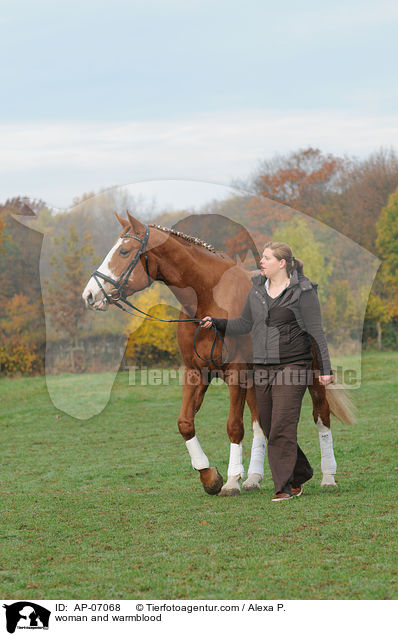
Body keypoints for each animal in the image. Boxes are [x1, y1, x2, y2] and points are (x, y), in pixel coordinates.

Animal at [82, 214, 350, 496]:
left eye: (124, 251)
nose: (90, 295)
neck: (208, 297)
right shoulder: (195, 373)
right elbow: (185, 423)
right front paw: (210, 476)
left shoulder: (236, 373)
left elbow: (233, 426)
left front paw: (231, 481)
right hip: (256, 381)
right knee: (260, 424)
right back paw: (253, 477)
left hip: (313, 372)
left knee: (321, 416)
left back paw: (328, 477)